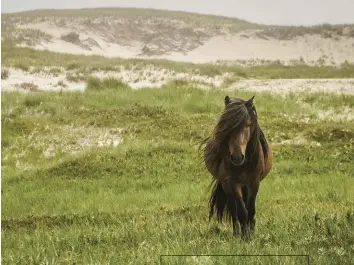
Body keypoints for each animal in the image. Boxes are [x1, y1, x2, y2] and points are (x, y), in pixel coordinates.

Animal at [201, 95, 272, 237]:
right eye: (226, 126)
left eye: (248, 124)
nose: (237, 157)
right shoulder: (233, 183)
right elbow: (241, 211)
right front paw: (244, 235)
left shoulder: (254, 182)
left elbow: (251, 210)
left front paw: (250, 233)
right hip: (226, 185)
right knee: (233, 209)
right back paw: (236, 233)